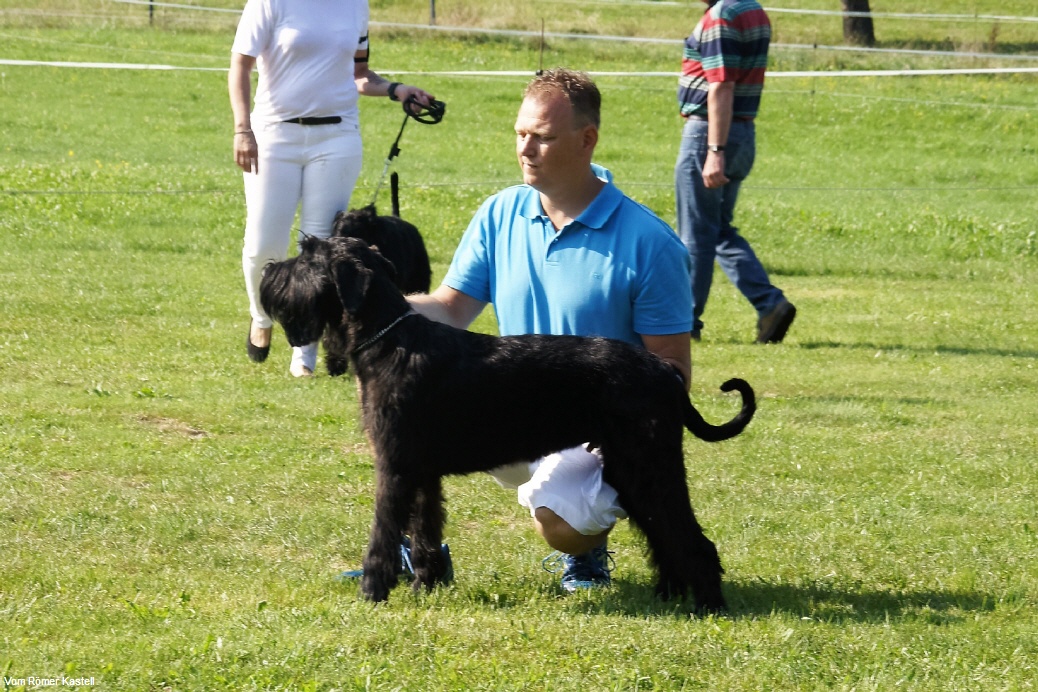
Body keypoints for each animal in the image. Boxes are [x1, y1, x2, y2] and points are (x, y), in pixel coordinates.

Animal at [261, 236, 755, 610]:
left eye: (307, 255)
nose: (267, 269)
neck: (388, 339)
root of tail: (664, 372)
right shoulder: (422, 474)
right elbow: (423, 532)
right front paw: (424, 586)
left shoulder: (395, 467)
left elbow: (384, 533)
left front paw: (372, 592)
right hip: (632, 472)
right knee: (662, 532)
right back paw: (669, 594)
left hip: (647, 466)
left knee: (691, 538)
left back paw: (708, 604)